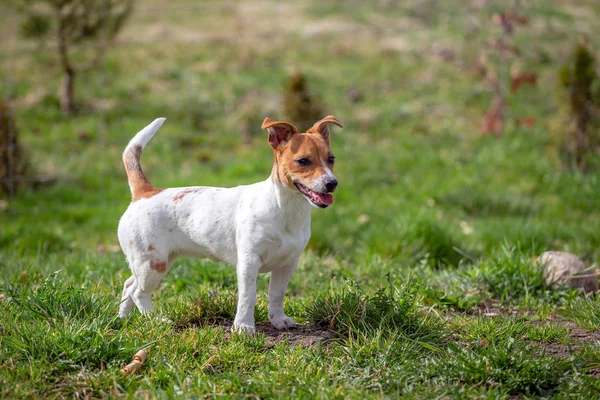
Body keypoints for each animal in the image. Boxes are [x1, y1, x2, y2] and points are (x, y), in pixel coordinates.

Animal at [117, 116, 342, 334]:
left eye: (331, 159)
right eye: (303, 161)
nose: (332, 183)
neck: (285, 209)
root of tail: (145, 192)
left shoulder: (287, 264)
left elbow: (276, 294)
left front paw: (278, 320)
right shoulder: (249, 262)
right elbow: (248, 297)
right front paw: (244, 327)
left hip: (153, 261)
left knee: (129, 285)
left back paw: (122, 319)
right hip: (152, 264)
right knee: (138, 292)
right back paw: (156, 320)